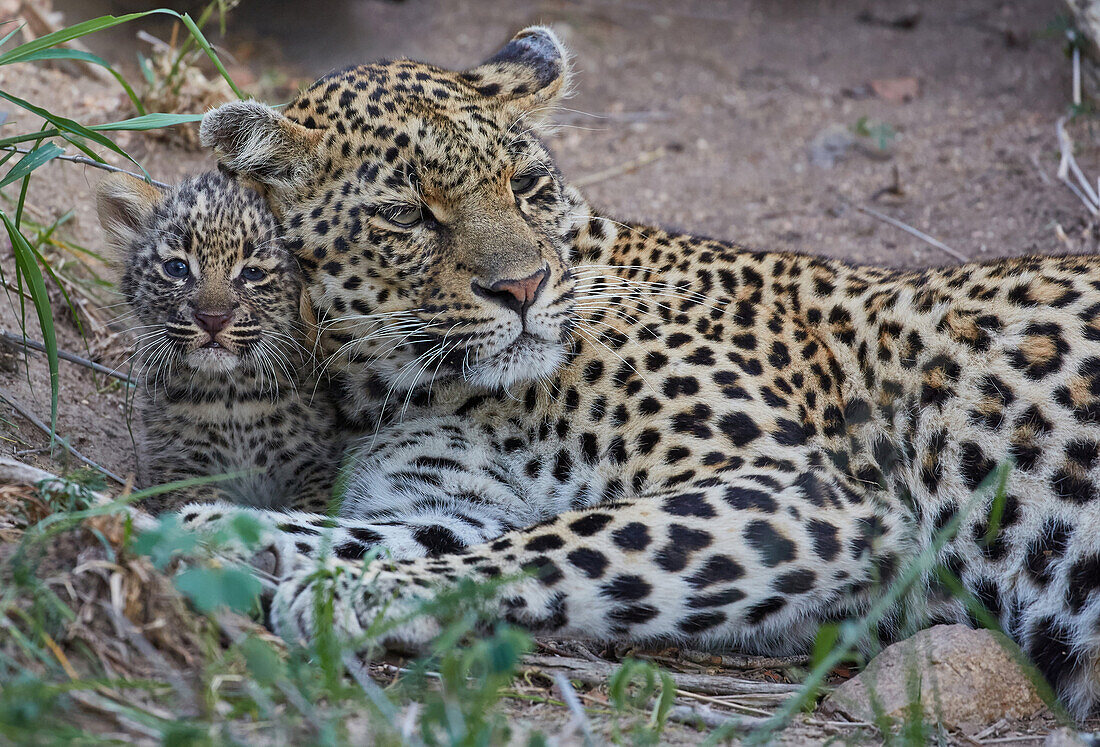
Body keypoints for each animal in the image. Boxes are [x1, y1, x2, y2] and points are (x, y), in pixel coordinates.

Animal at [191, 27, 1100, 717]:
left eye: (528, 185)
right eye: (405, 214)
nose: (523, 287)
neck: (414, 386)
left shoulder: (805, 492)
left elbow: (562, 543)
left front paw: (354, 595)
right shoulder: (452, 504)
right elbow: (366, 532)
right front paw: (196, 526)